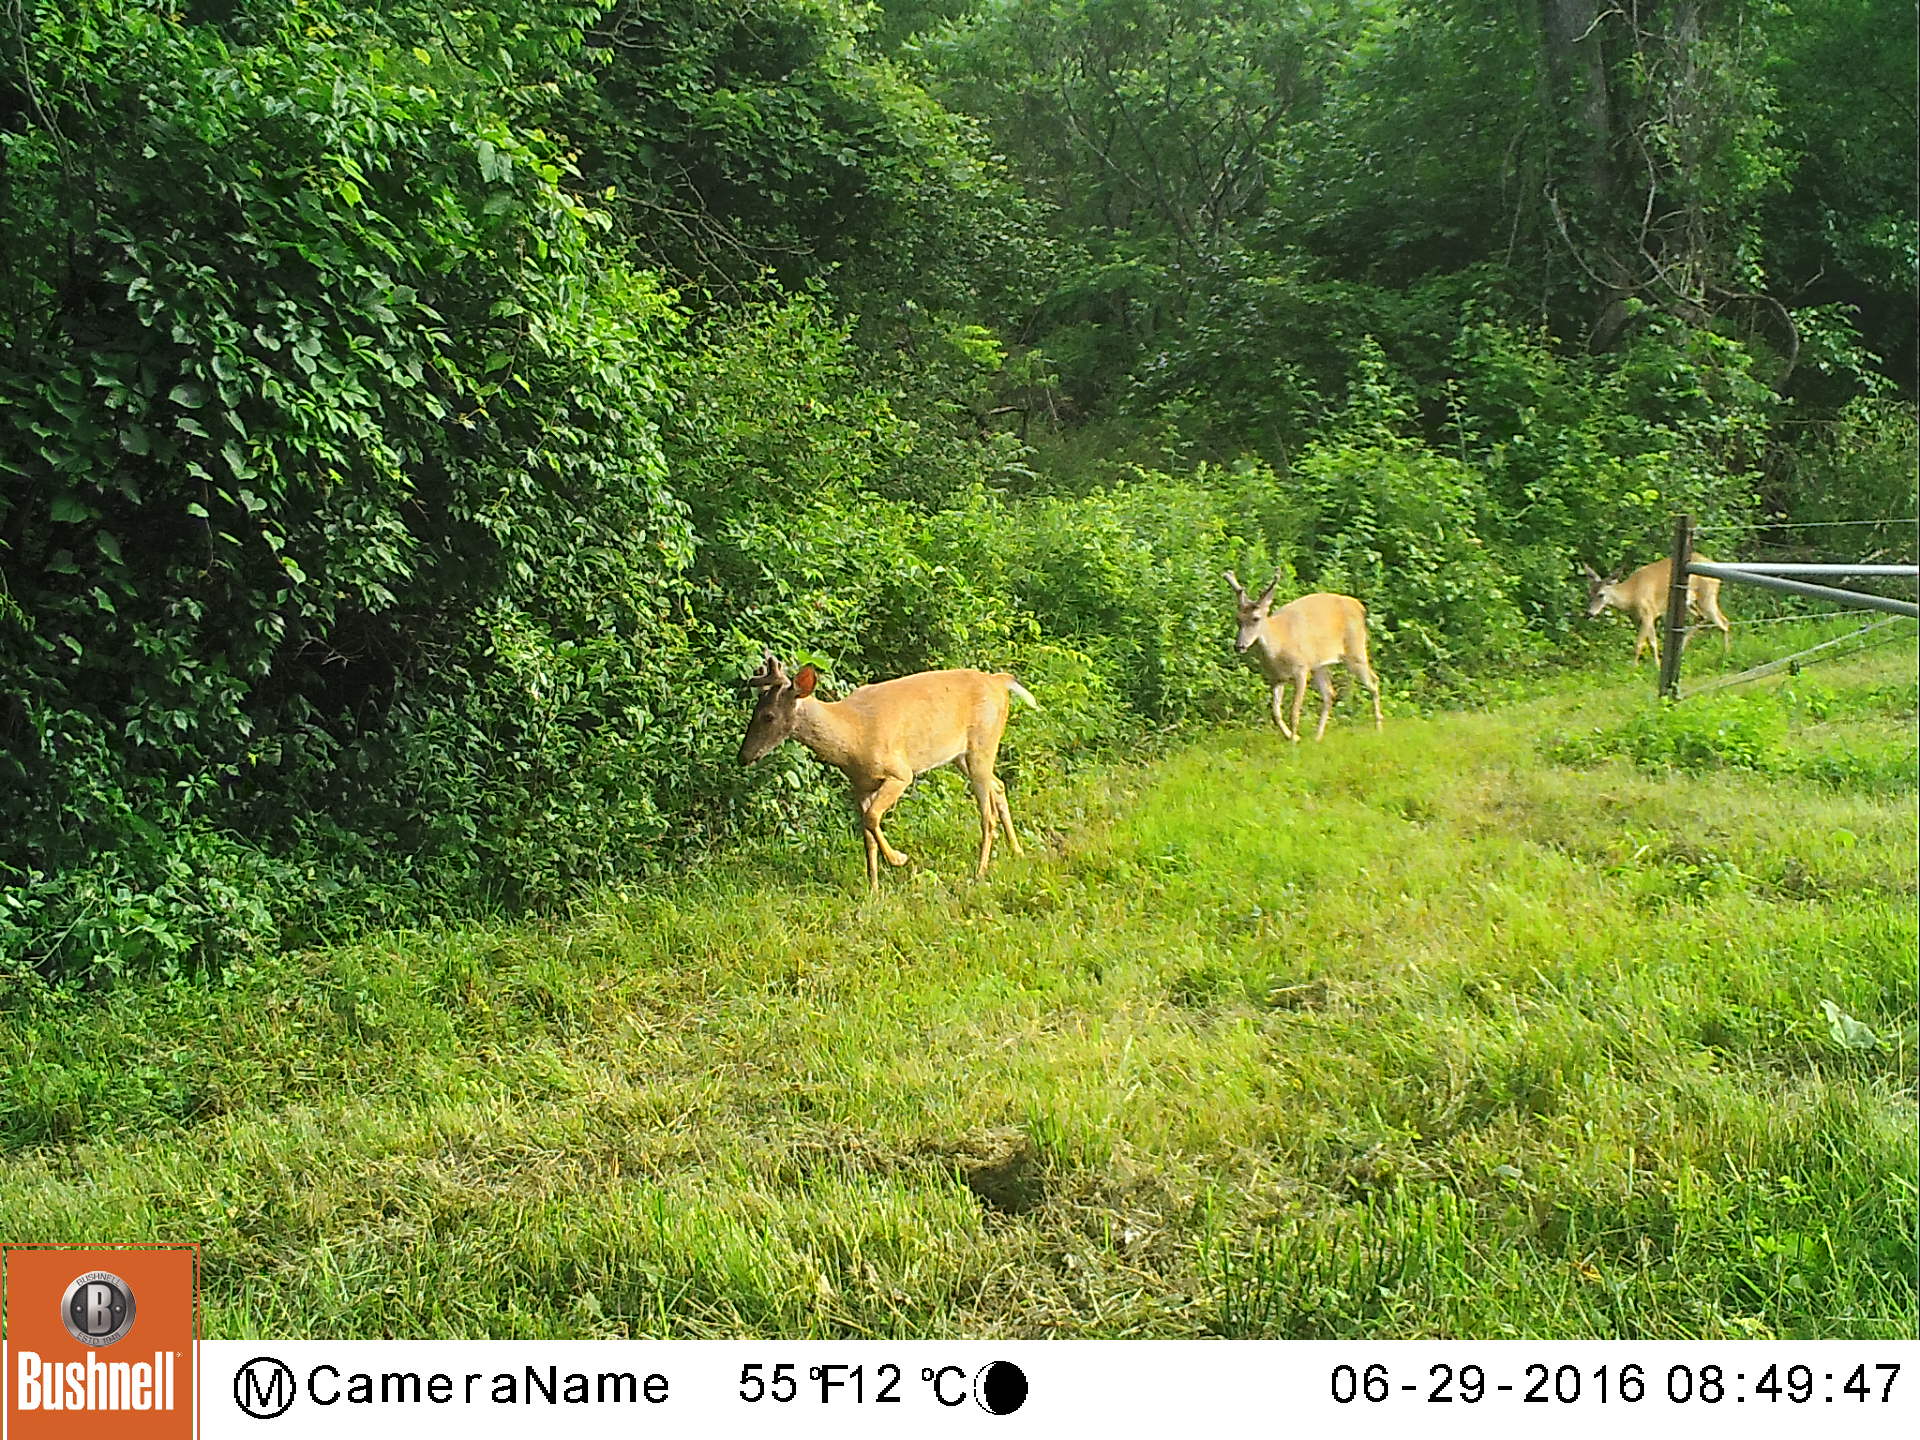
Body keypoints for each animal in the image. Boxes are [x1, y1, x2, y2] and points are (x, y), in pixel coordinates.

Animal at [733, 656, 1036, 890]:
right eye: (755, 711)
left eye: (768, 716)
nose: (743, 756)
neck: (852, 735)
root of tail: (999, 681)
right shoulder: (860, 784)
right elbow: (867, 832)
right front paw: (874, 888)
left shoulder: (900, 773)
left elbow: (872, 817)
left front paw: (899, 859)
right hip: (963, 755)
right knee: (999, 785)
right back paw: (1018, 851)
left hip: (982, 744)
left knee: (987, 815)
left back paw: (980, 872)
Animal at [1228, 568, 1382, 744]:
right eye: (1238, 618)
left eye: (1256, 618)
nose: (1239, 645)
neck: (1279, 646)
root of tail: (1360, 606)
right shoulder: (1276, 677)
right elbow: (1275, 712)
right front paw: (1293, 736)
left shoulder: (1301, 669)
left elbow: (1294, 711)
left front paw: (1293, 741)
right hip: (1320, 665)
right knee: (1330, 694)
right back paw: (1318, 737)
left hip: (1355, 649)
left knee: (1373, 681)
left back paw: (1379, 727)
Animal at [1582, 556, 1735, 672]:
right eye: (1589, 593)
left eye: (1601, 594)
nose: (1589, 613)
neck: (1632, 594)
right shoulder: (1647, 616)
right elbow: (1653, 642)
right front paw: (1657, 665)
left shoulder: (1648, 613)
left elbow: (1640, 643)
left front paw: (1634, 667)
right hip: (1690, 603)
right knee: (1701, 617)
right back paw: (1680, 650)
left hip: (1707, 596)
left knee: (1724, 622)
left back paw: (1726, 655)